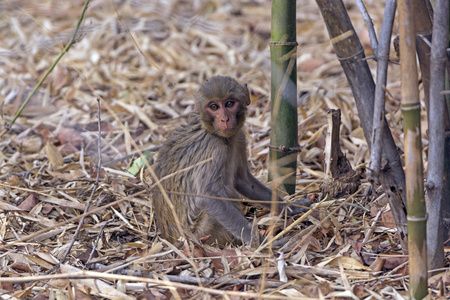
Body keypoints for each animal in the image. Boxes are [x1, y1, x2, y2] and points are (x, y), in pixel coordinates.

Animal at [151, 75, 310, 246]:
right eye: (214, 106)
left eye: (229, 104)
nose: (225, 119)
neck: (215, 133)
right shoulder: (215, 149)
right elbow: (209, 197)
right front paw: (262, 243)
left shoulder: (239, 138)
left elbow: (243, 180)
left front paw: (291, 208)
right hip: (204, 233)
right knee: (225, 192)